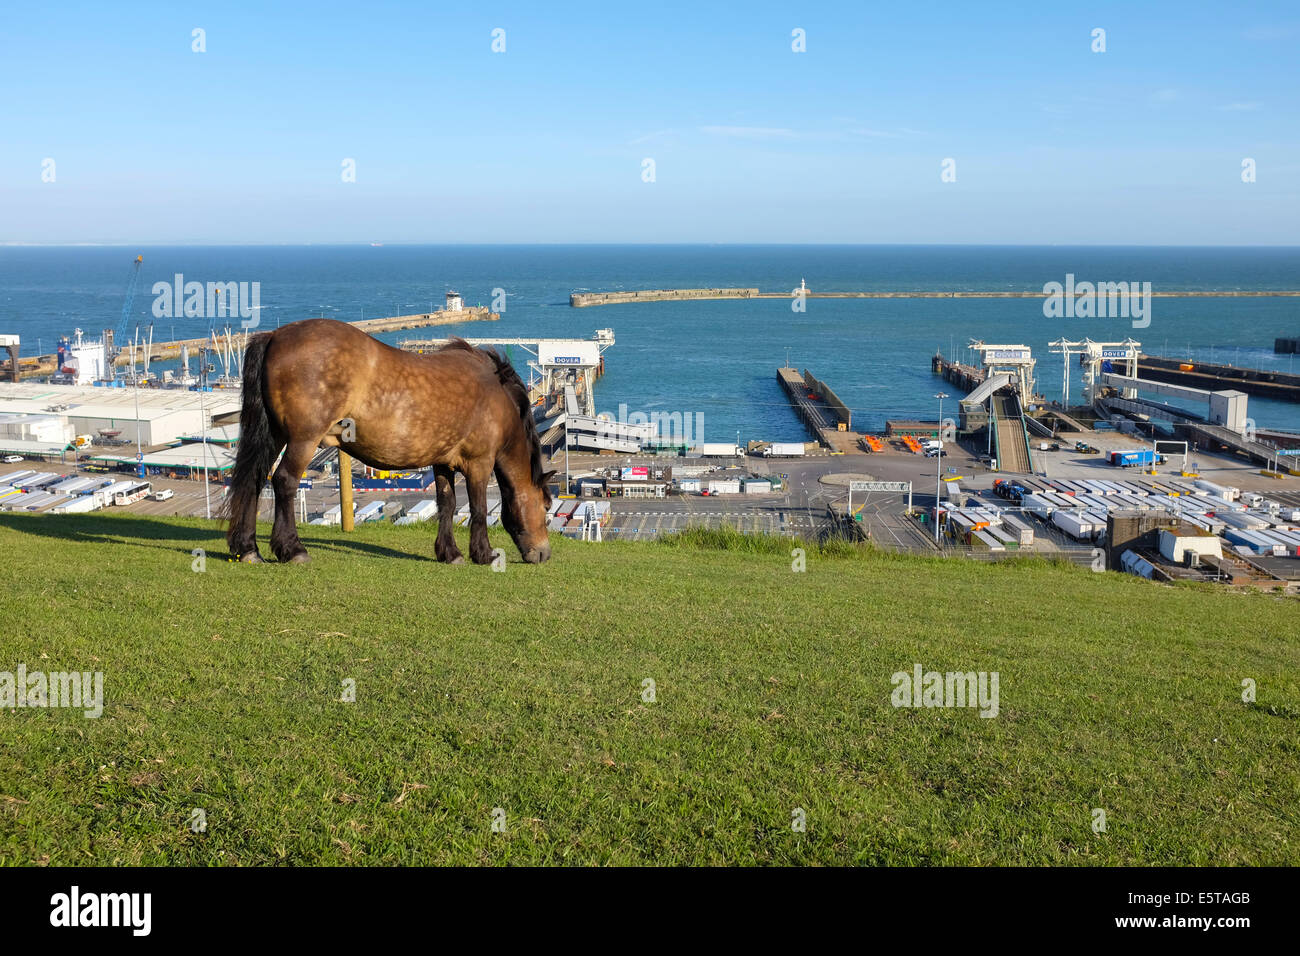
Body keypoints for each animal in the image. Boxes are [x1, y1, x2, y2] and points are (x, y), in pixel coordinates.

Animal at [223, 317, 548, 564]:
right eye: (546, 506)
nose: (544, 554)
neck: (497, 397)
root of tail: (275, 335)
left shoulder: (442, 462)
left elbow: (447, 504)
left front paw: (449, 553)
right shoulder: (479, 464)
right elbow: (478, 509)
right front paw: (483, 554)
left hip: (275, 435)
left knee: (254, 480)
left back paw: (248, 548)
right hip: (303, 439)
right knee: (284, 481)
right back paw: (292, 549)